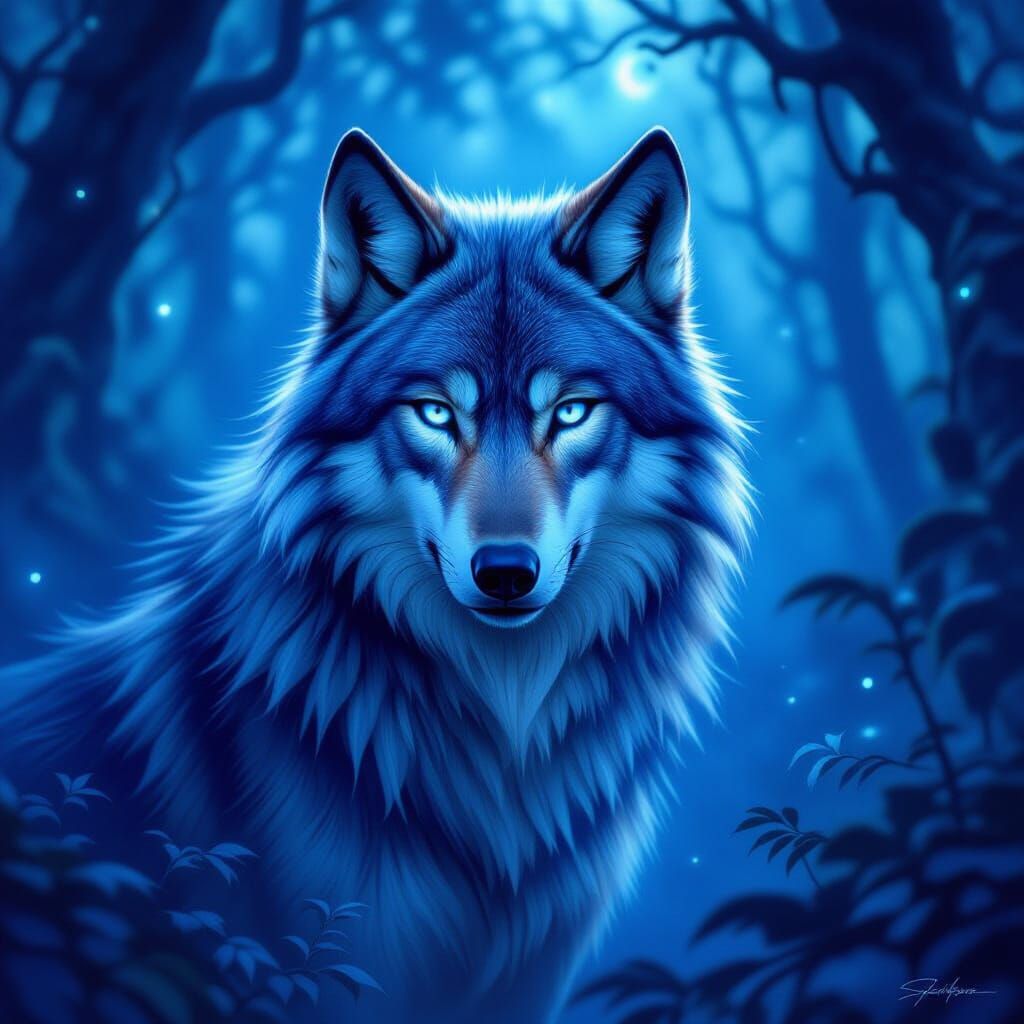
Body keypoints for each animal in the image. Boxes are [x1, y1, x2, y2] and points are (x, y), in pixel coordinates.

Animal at [0, 127, 750, 1023]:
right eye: (435, 413)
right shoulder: (334, 965)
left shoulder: (529, 981)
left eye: (570, 413)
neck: (502, 738)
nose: (505, 572)